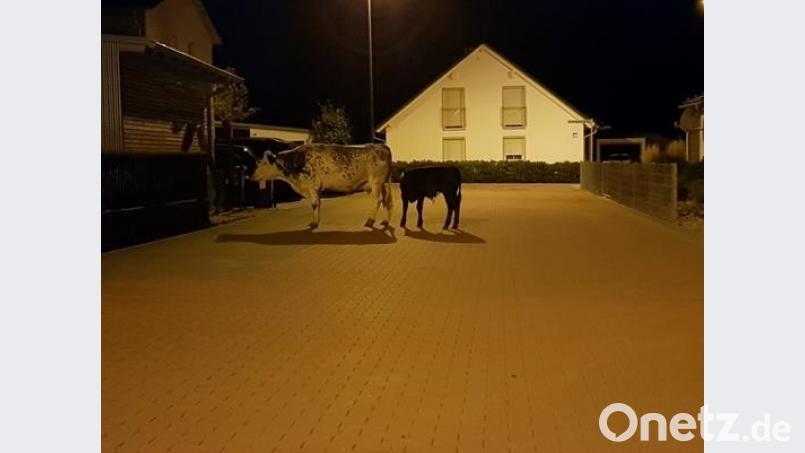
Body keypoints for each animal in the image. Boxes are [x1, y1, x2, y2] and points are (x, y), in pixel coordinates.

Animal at [250, 143, 393, 229]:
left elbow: (314, 204)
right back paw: (385, 221)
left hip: (376, 182)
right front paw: (316, 221)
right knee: (386, 200)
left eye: (263, 163)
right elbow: (318, 204)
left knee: (377, 200)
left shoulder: (312, 186)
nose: (252, 176)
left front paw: (314, 223)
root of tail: (381, 146)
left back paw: (370, 221)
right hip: (383, 183)